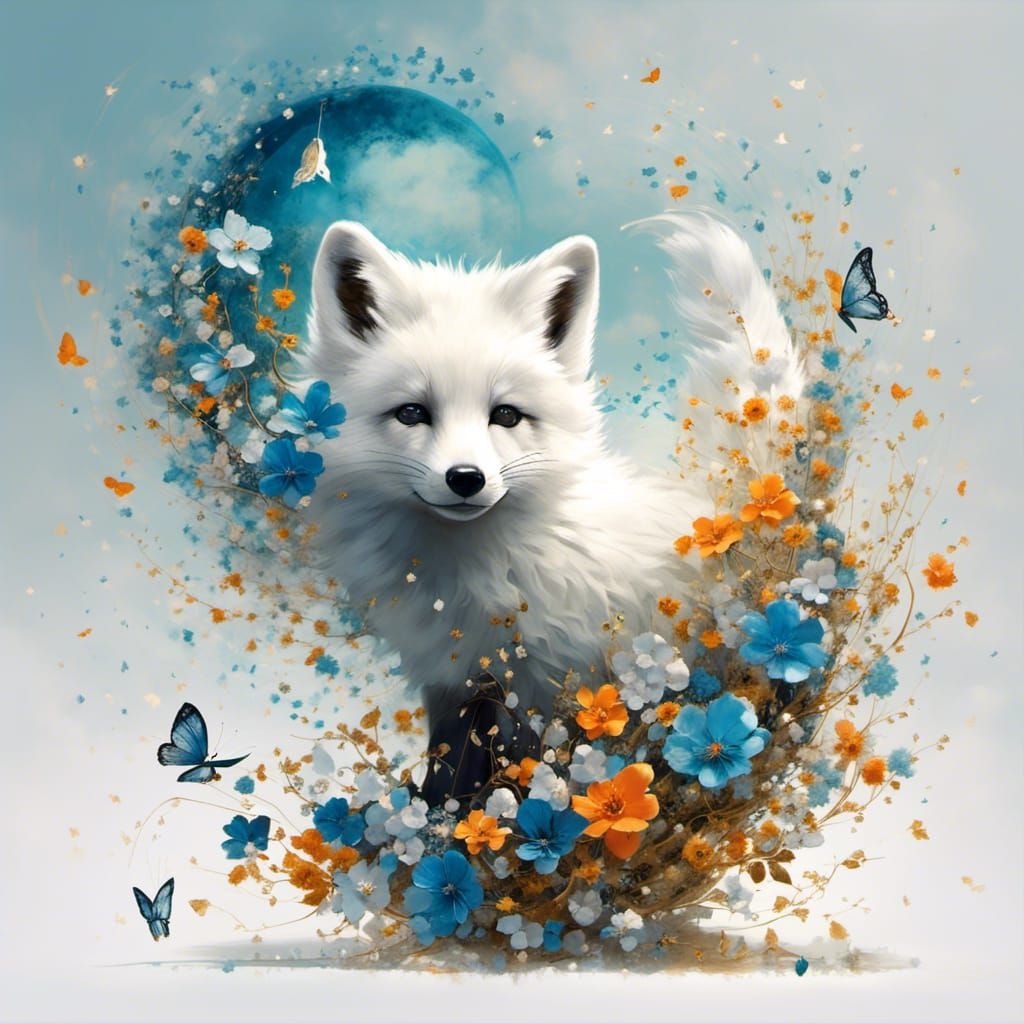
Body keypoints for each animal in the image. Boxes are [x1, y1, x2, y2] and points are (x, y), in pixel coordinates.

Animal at [298, 211, 804, 803]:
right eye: (411, 413)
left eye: (506, 415)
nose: (465, 479)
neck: (480, 575)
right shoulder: (456, 681)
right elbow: (450, 769)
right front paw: (440, 815)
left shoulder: (562, 683)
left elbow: (546, 770)